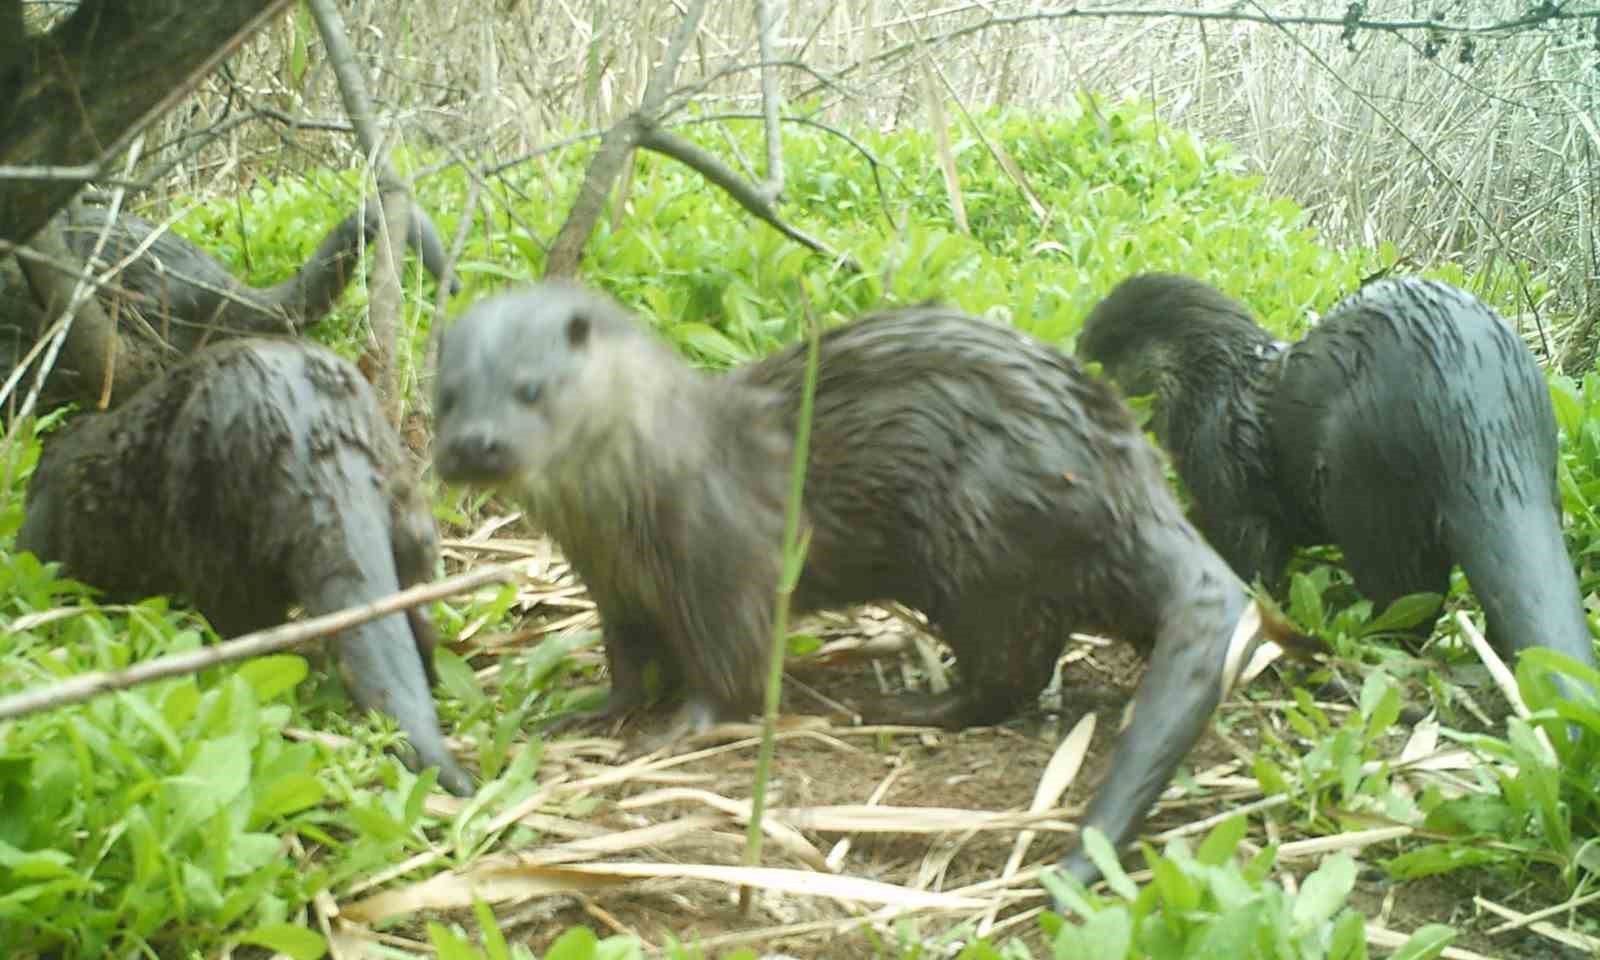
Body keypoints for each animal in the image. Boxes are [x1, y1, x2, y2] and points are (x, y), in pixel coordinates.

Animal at [432, 281, 1305, 889]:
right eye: (447, 395)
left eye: (531, 388)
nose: (473, 444)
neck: (644, 483)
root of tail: (1126, 475)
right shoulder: (614, 584)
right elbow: (627, 662)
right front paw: (592, 713)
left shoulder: (726, 563)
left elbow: (730, 667)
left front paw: (677, 731)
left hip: (976, 540)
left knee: (1010, 672)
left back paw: (907, 705)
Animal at [1075, 275, 1600, 681]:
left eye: (1104, 343)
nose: (1076, 349)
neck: (1213, 391)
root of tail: (1479, 416)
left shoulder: (1225, 472)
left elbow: (1253, 554)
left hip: (1364, 482)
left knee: (1406, 599)